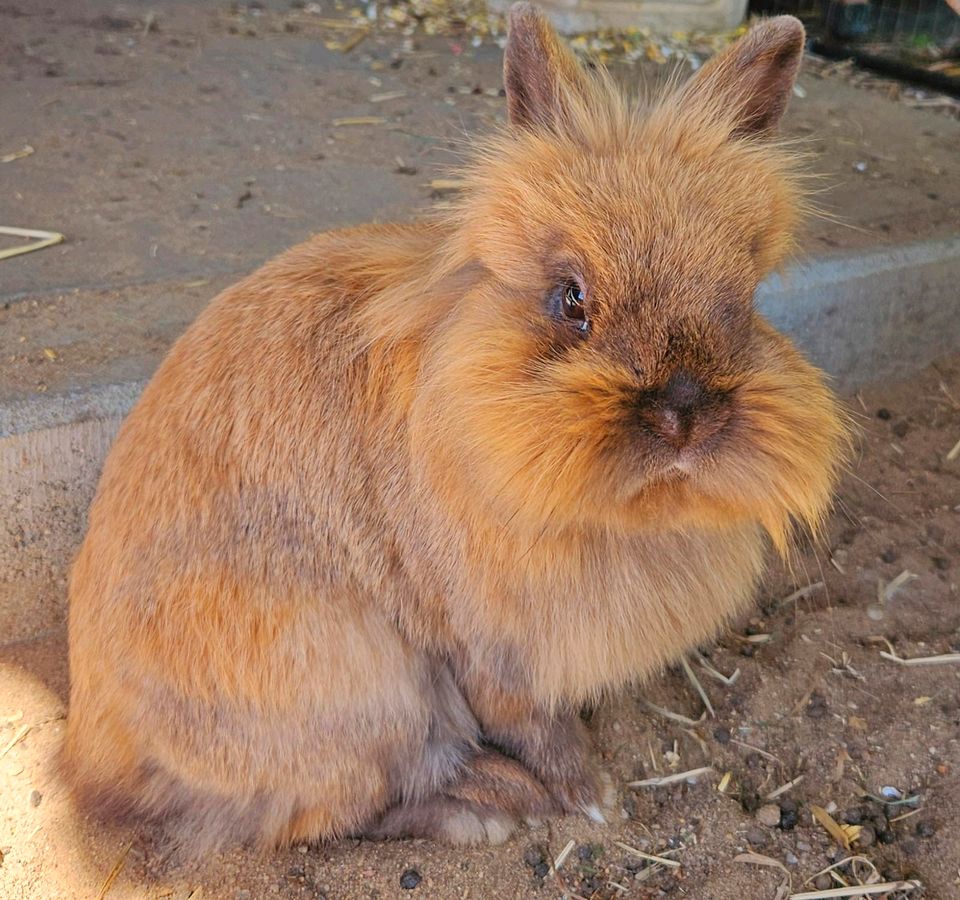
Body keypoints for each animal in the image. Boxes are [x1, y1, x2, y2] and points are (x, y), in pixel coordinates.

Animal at [60, 3, 844, 856]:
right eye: (571, 298)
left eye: (745, 296)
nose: (686, 416)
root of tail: (93, 759)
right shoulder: (493, 643)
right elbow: (533, 725)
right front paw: (593, 799)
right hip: (358, 682)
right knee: (334, 812)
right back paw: (492, 804)